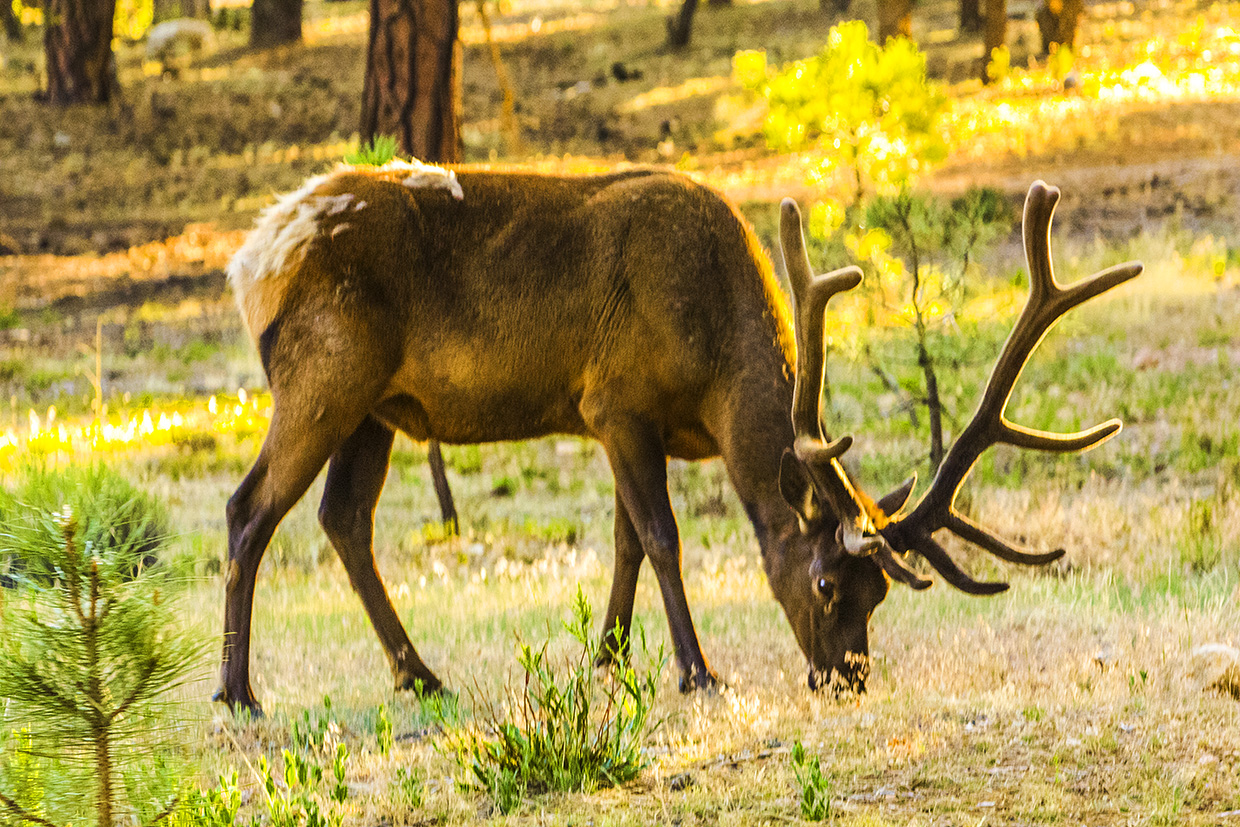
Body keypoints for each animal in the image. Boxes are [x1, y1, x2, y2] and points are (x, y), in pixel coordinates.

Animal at [215, 159, 1140, 714]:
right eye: (827, 584)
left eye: (880, 592)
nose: (846, 680)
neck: (715, 377)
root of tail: (249, 259)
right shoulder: (614, 400)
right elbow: (661, 535)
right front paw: (696, 670)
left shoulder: (635, 423)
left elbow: (625, 538)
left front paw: (609, 657)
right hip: (323, 376)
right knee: (248, 508)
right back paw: (238, 691)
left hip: (377, 404)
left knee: (343, 518)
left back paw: (420, 672)